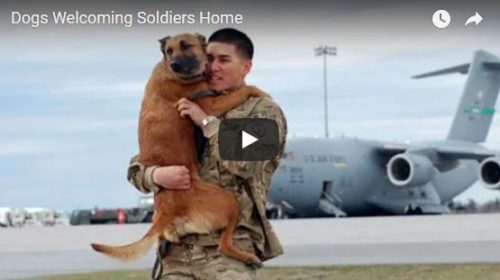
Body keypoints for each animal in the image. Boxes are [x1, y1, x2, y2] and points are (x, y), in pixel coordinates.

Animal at [91, 33, 268, 266]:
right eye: (169, 51)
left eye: (185, 46)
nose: (175, 64)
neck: (168, 71)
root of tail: (167, 212)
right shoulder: (210, 105)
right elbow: (245, 89)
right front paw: (260, 90)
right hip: (229, 201)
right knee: (223, 244)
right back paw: (247, 256)